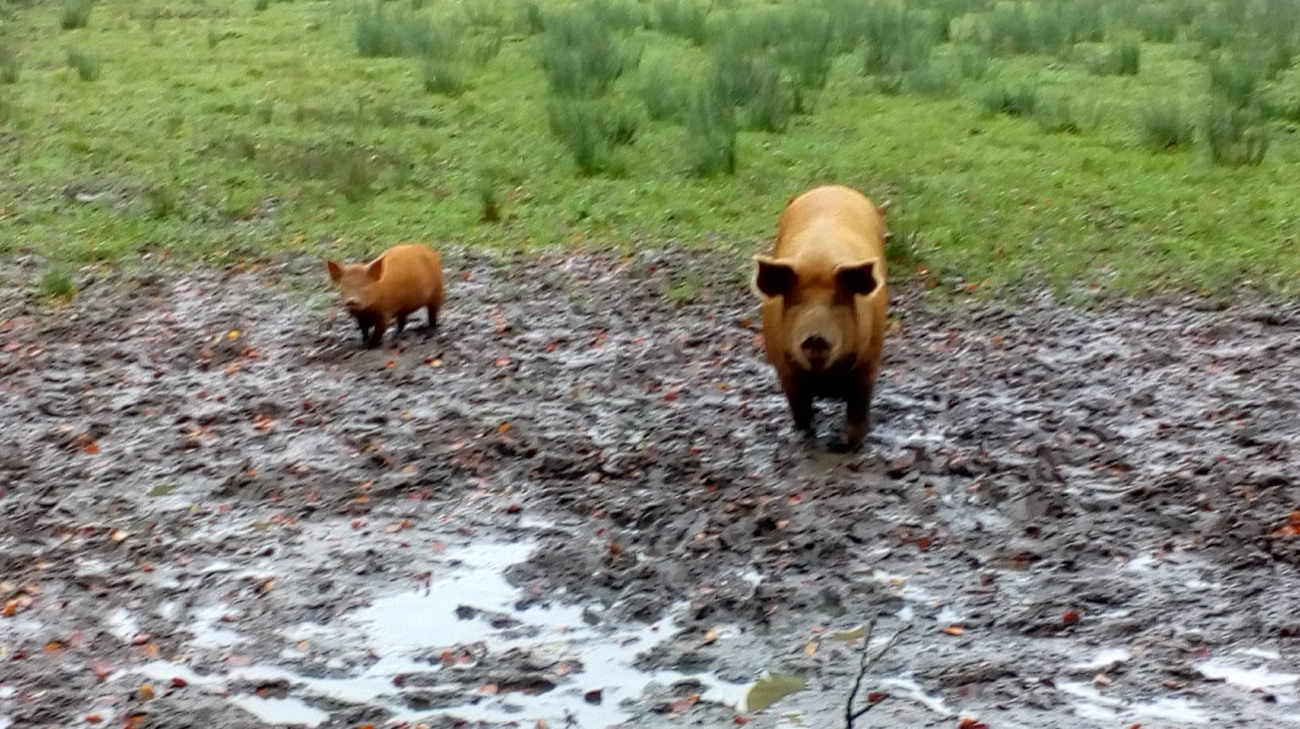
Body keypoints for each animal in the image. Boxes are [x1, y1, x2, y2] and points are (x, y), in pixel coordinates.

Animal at [751, 185, 889, 449]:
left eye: (838, 301)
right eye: (797, 301)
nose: (816, 337)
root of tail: (832, 187)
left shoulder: (868, 364)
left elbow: (858, 413)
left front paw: (848, 444)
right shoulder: (785, 372)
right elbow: (801, 413)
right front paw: (805, 437)